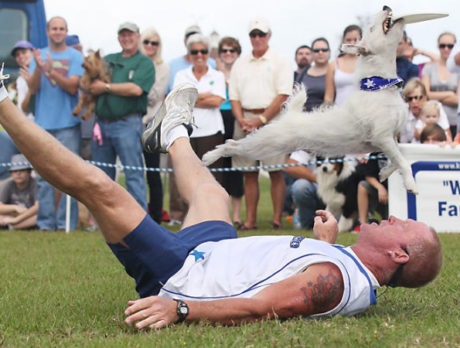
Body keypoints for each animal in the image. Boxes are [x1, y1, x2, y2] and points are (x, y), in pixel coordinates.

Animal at [203, 7, 426, 193]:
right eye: (371, 28)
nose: (386, 7)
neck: (381, 87)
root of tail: (290, 117)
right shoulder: (383, 137)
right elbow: (403, 161)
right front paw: (411, 184)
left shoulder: (390, 139)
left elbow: (398, 158)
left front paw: (385, 172)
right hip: (264, 144)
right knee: (232, 144)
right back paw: (209, 156)